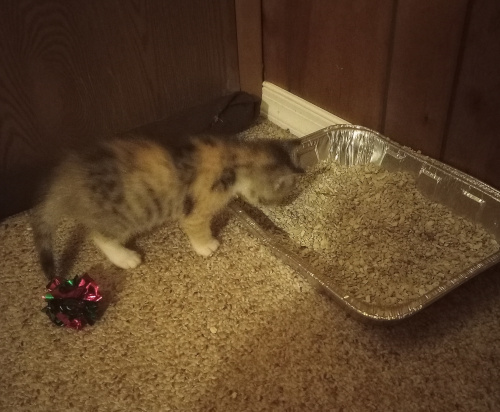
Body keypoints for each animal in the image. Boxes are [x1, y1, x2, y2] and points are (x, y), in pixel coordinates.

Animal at [32, 133, 304, 280]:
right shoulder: (197, 209)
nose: (287, 202)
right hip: (123, 215)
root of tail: (69, 175)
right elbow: (197, 228)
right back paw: (125, 257)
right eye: (284, 193)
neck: (234, 157)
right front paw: (206, 246)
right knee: (99, 236)